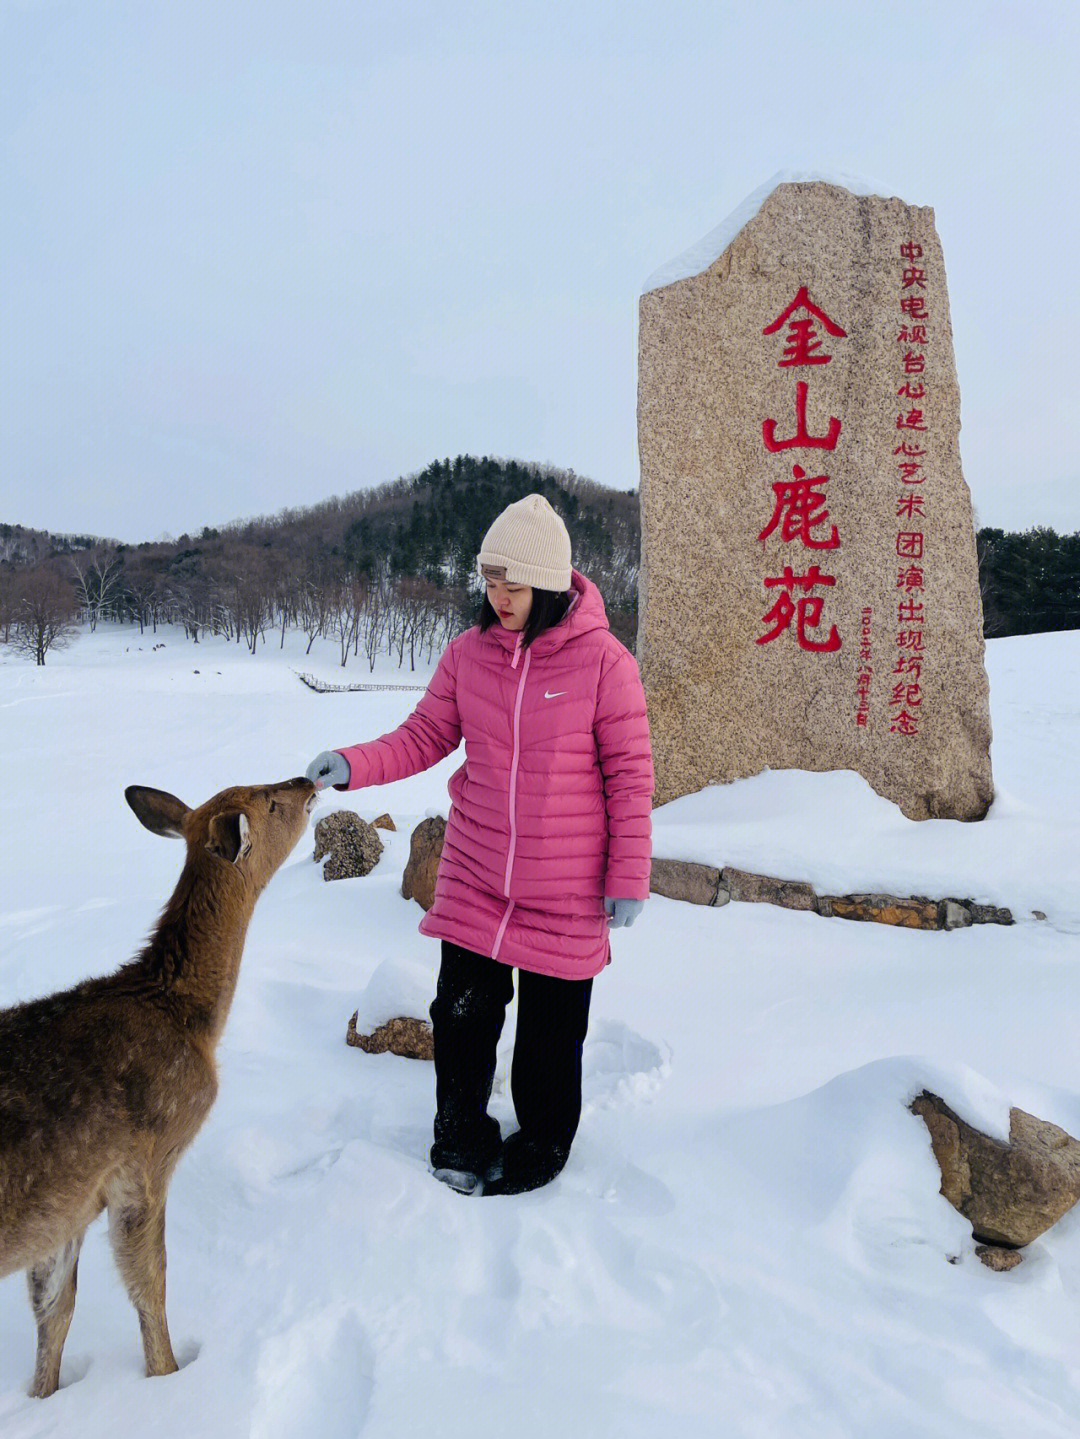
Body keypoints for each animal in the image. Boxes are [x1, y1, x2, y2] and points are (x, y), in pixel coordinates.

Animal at [1, 777, 316, 1392]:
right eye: (270, 802)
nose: (309, 782)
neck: (186, 1014)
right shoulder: (144, 1160)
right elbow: (150, 1286)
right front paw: (168, 1376)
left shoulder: (65, 1205)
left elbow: (55, 1309)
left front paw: (44, 1394)